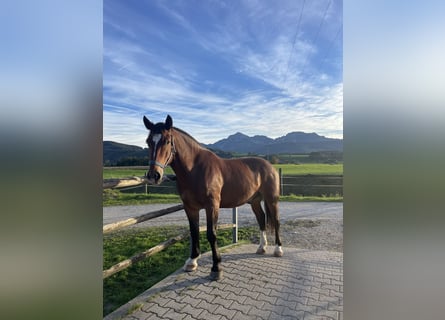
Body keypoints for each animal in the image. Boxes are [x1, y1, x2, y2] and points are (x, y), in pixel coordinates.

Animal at [143, 115, 280, 280]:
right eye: (148, 141)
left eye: (167, 141)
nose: (154, 175)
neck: (194, 169)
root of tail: (269, 165)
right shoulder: (190, 207)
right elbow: (194, 232)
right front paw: (192, 261)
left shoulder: (212, 206)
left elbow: (211, 234)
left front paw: (216, 268)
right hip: (254, 201)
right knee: (261, 220)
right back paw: (262, 247)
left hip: (272, 199)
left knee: (276, 222)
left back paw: (278, 250)